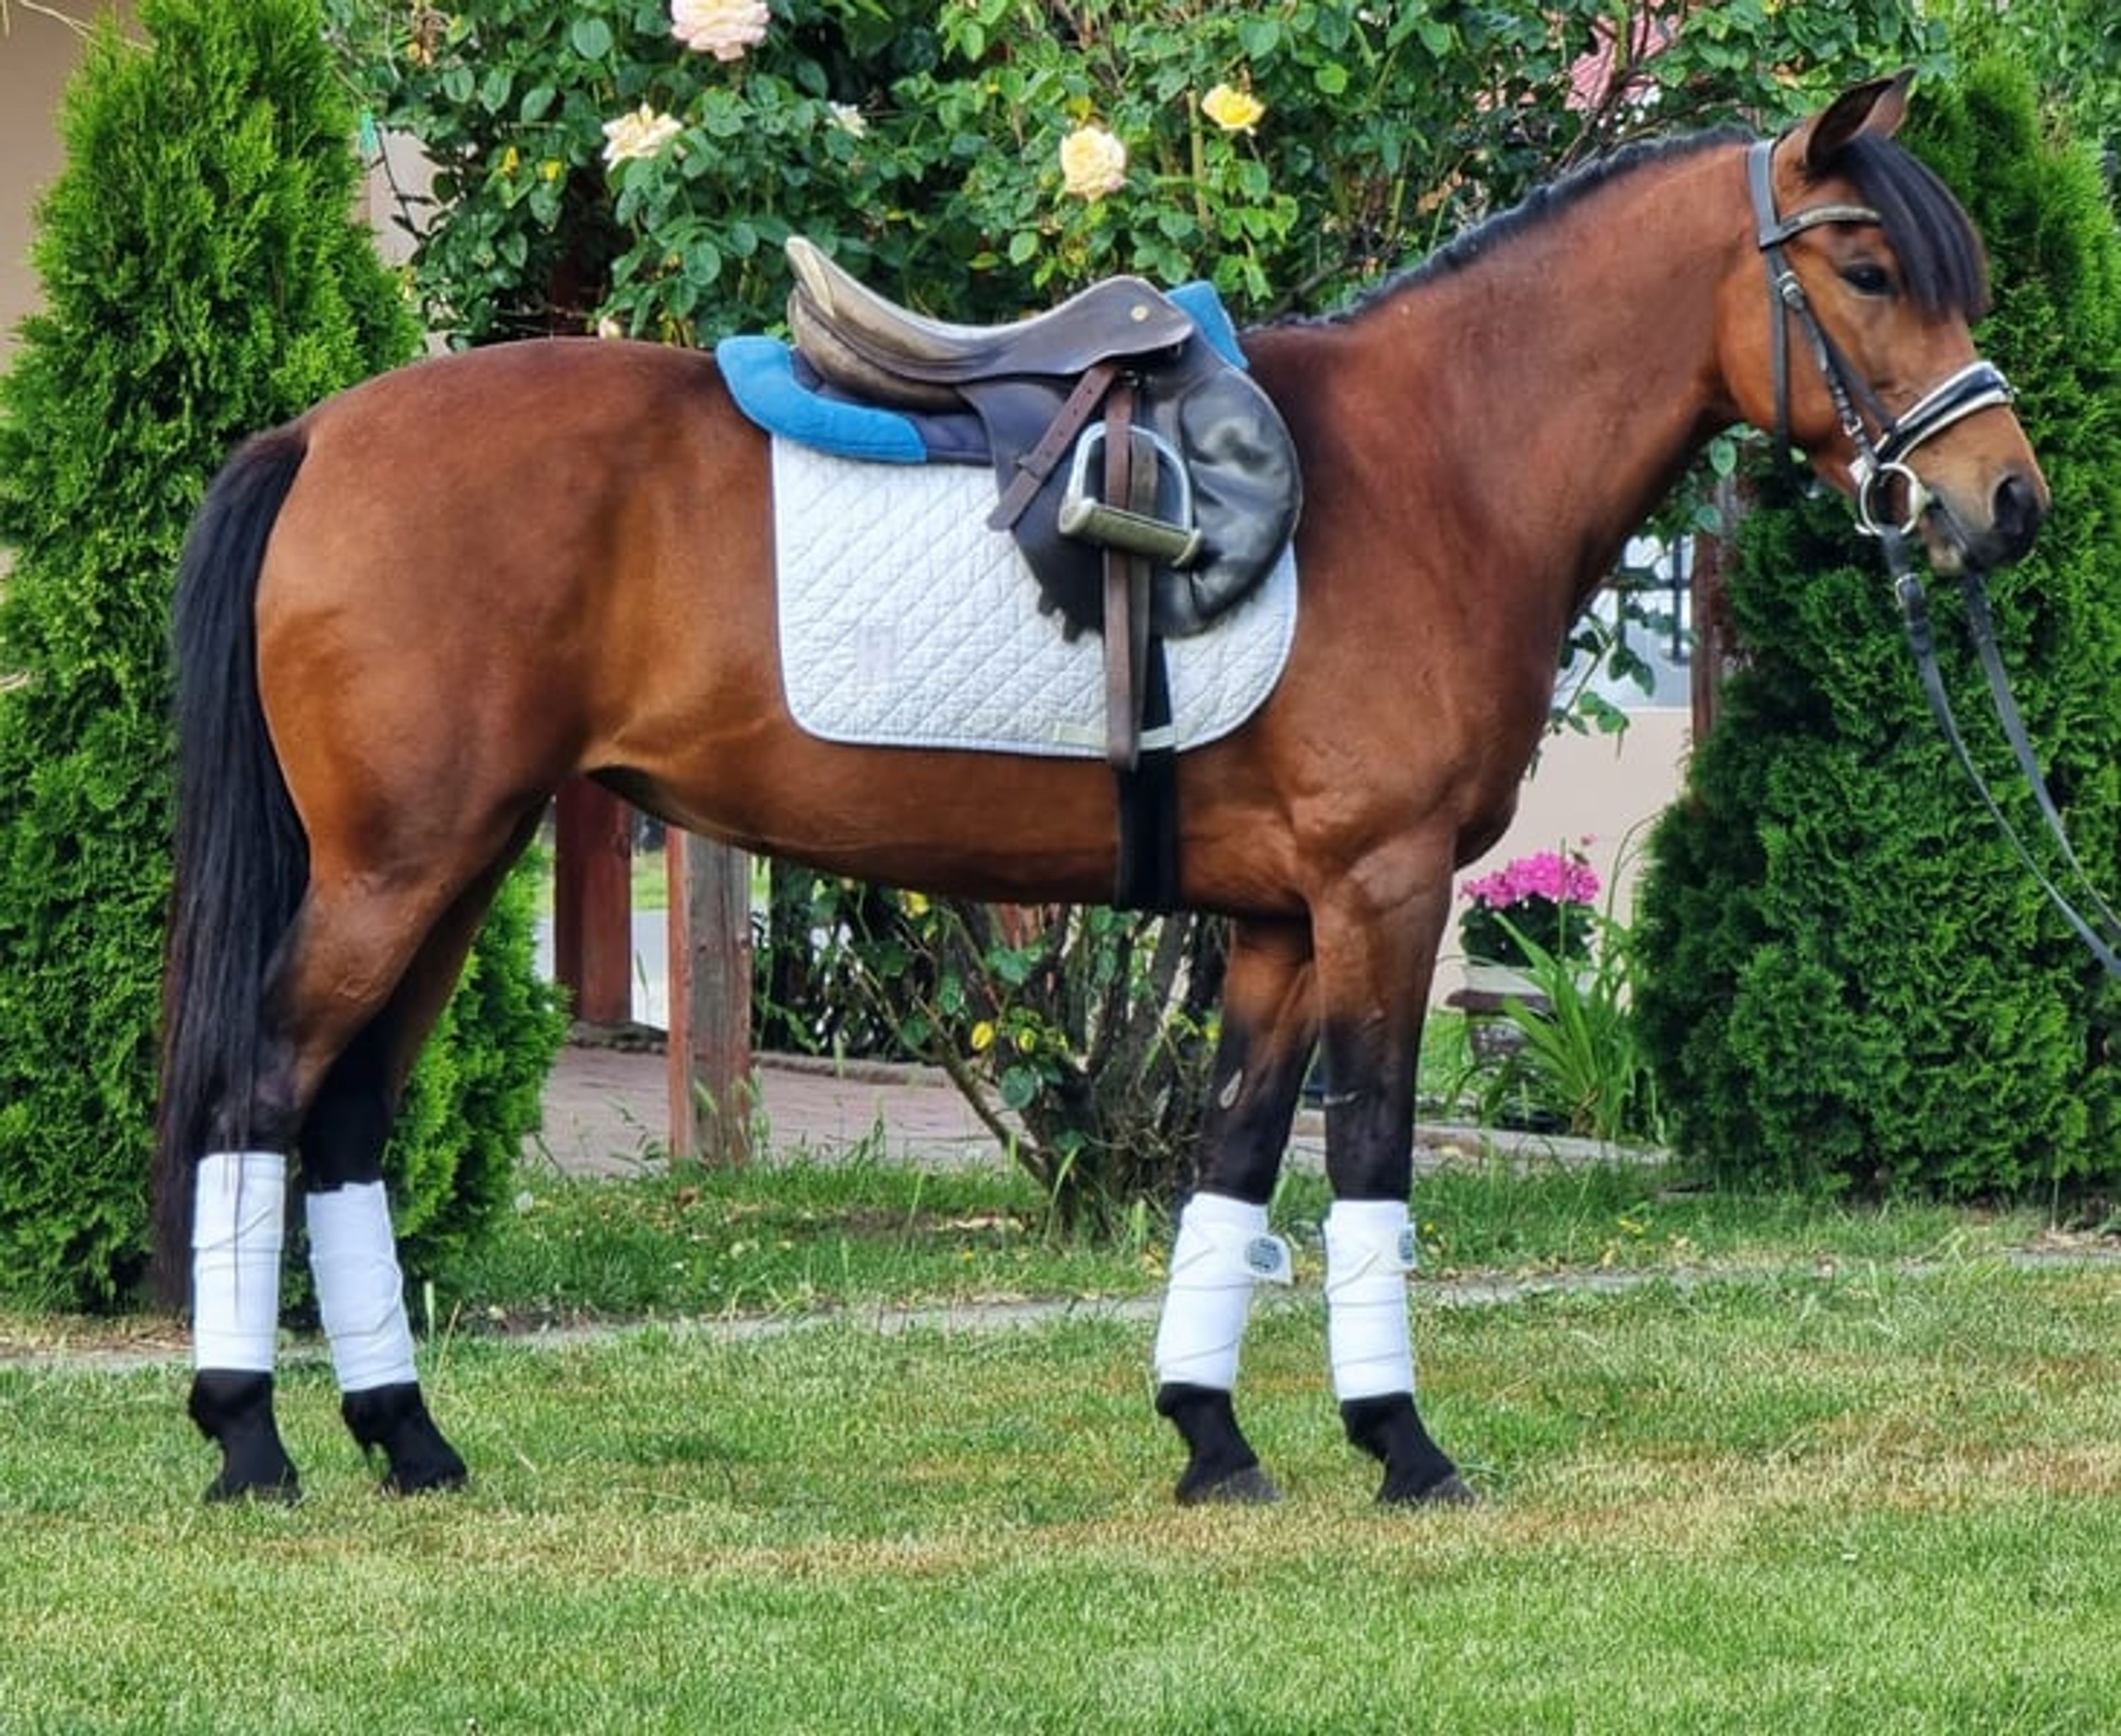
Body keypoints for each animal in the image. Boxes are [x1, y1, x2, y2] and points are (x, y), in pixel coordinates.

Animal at [155, 74, 2046, 1506]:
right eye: (1867, 265)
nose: (2005, 500)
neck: (1437, 466)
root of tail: (321, 435)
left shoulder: (1280, 925)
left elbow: (1236, 1160)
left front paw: (1211, 1436)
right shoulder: (1383, 893)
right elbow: (1369, 1153)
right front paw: (1402, 1442)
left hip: (455, 866)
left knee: (343, 1118)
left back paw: (407, 1438)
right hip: (398, 870)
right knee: (261, 1089)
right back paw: (251, 1438)